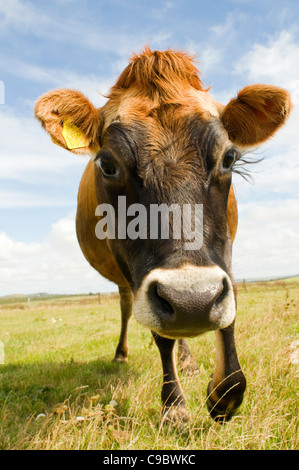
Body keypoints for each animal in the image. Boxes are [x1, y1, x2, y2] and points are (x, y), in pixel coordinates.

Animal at [34, 47, 292, 422]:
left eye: (229, 157)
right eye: (107, 164)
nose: (190, 301)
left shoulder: (225, 250)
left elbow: (229, 311)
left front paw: (224, 393)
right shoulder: (132, 268)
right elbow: (161, 336)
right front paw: (174, 405)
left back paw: (187, 361)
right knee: (128, 308)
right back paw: (123, 354)